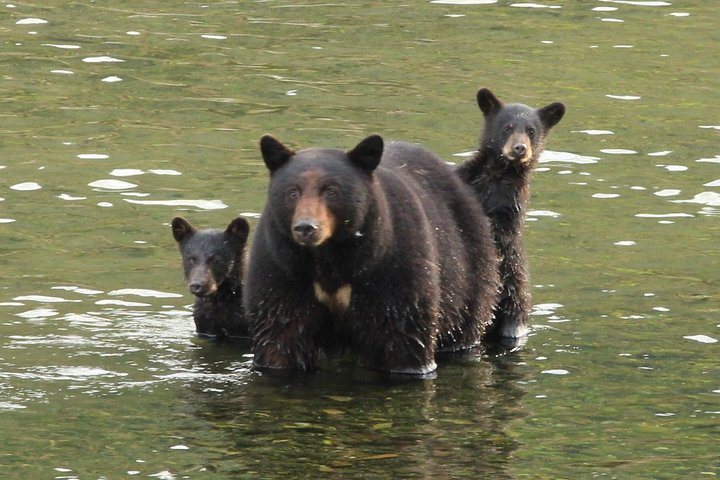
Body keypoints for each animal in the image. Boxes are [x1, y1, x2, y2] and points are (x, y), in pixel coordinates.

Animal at [244, 134, 500, 375]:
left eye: (331, 191)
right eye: (292, 192)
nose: (306, 227)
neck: (331, 257)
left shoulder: (391, 267)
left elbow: (403, 334)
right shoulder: (283, 269)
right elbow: (282, 333)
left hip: (470, 269)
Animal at [456, 88, 565, 341]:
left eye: (531, 130)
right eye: (507, 127)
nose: (519, 149)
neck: (498, 175)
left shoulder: (508, 209)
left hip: (515, 301)